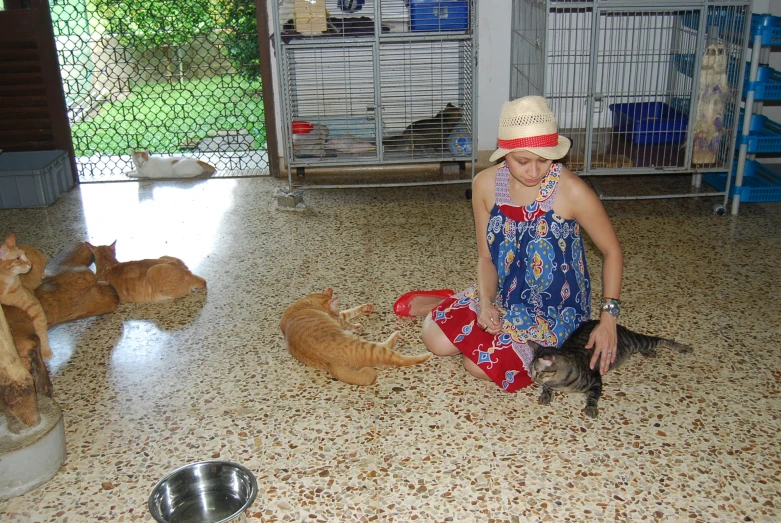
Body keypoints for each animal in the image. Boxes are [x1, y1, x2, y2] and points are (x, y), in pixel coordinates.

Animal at [278, 288, 430, 386]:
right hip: (368, 347)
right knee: (398, 359)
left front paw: (365, 307)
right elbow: (346, 318)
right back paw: (424, 353)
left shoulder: (339, 316)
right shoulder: (338, 320)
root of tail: (330, 362)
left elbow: (348, 312)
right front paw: (356, 325)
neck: (307, 303)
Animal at [528, 322, 692, 420]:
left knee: (659, 340)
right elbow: (546, 387)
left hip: (638, 340)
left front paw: (591, 408)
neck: (560, 383)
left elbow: (593, 396)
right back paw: (649, 352)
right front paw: (546, 394)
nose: (533, 379)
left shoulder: (596, 380)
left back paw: (683, 347)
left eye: (538, 372)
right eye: (531, 370)